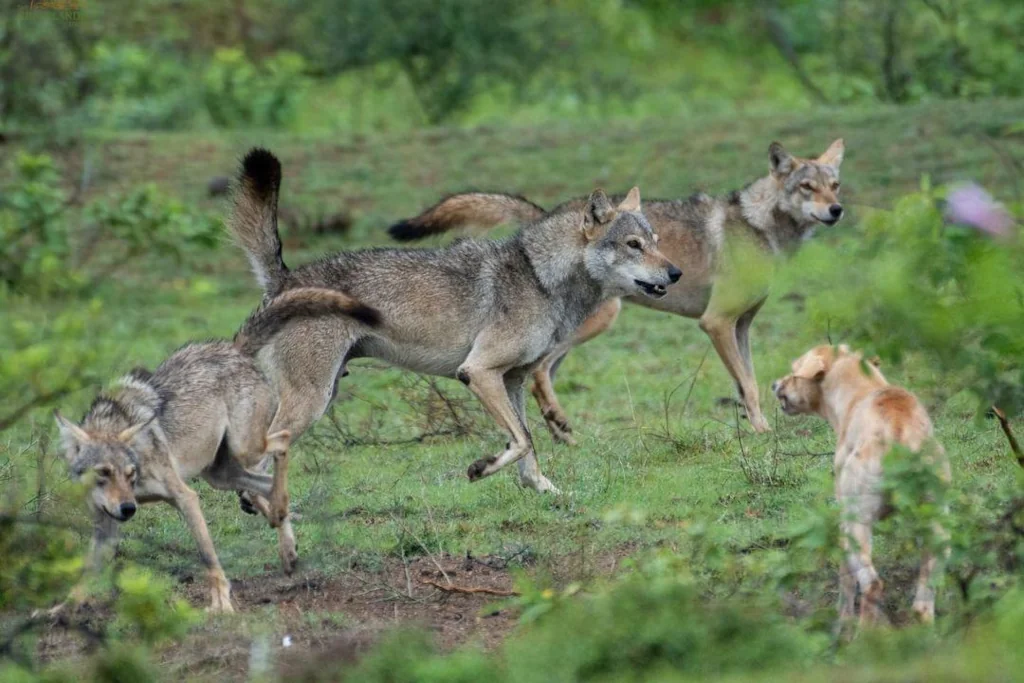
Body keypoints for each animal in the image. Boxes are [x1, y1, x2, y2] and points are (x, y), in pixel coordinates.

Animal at [52, 286, 380, 614]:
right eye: (103, 474)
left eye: (130, 474)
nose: (129, 508)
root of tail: (235, 349)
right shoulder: (105, 521)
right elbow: (86, 571)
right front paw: (62, 609)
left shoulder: (186, 497)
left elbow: (207, 557)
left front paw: (221, 605)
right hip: (221, 475)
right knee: (265, 484)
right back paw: (285, 541)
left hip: (246, 450)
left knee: (282, 441)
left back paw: (280, 517)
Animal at [231, 147, 679, 493]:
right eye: (633, 245)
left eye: (656, 242)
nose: (676, 273)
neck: (539, 277)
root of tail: (286, 280)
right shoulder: (477, 372)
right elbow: (520, 440)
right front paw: (481, 468)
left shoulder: (512, 381)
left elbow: (528, 444)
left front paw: (546, 492)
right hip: (311, 403)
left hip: (317, 398)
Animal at [387, 137, 843, 444]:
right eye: (807, 188)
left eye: (834, 185)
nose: (837, 210)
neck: (762, 228)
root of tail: (548, 215)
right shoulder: (716, 323)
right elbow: (747, 384)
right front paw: (763, 433)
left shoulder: (742, 326)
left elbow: (749, 382)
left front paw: (758, 426)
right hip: (597, 321)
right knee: (539, 372)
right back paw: (560, 425)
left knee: (539, 376)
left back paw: (562, 434)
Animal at [774, 344, 950, 626]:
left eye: (794, 371)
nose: (774, 384)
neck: (861, 390)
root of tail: (899, 434)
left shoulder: (843, 520)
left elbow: (845, 583)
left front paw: (842, 621)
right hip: (938, 531)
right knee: (923, 604)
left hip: (857, 527)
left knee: (872, 585)